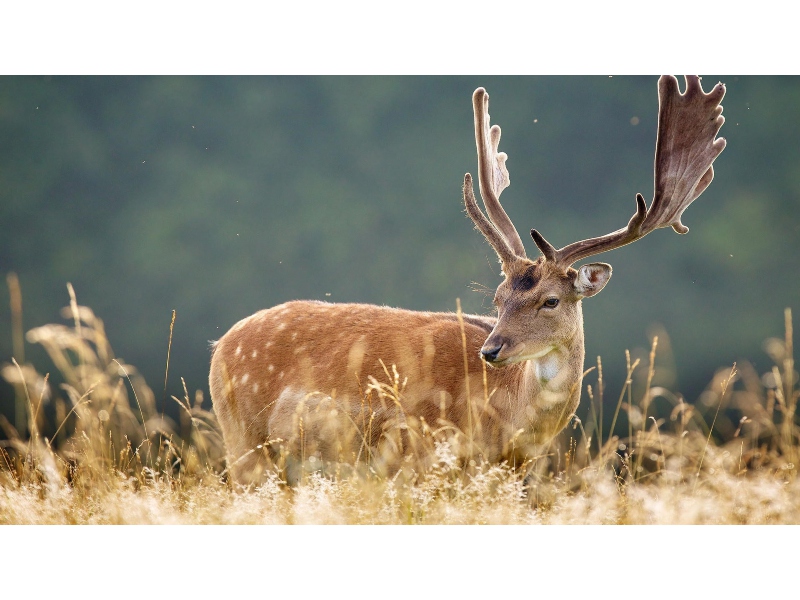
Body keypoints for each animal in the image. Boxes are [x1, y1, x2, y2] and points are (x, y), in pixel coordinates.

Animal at [209, 77, 728, 486]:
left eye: (550, 300)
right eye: (498, 299)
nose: (491, 350)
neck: (506, 424)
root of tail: (220, 346)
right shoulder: (420, 457)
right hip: (243, 443)